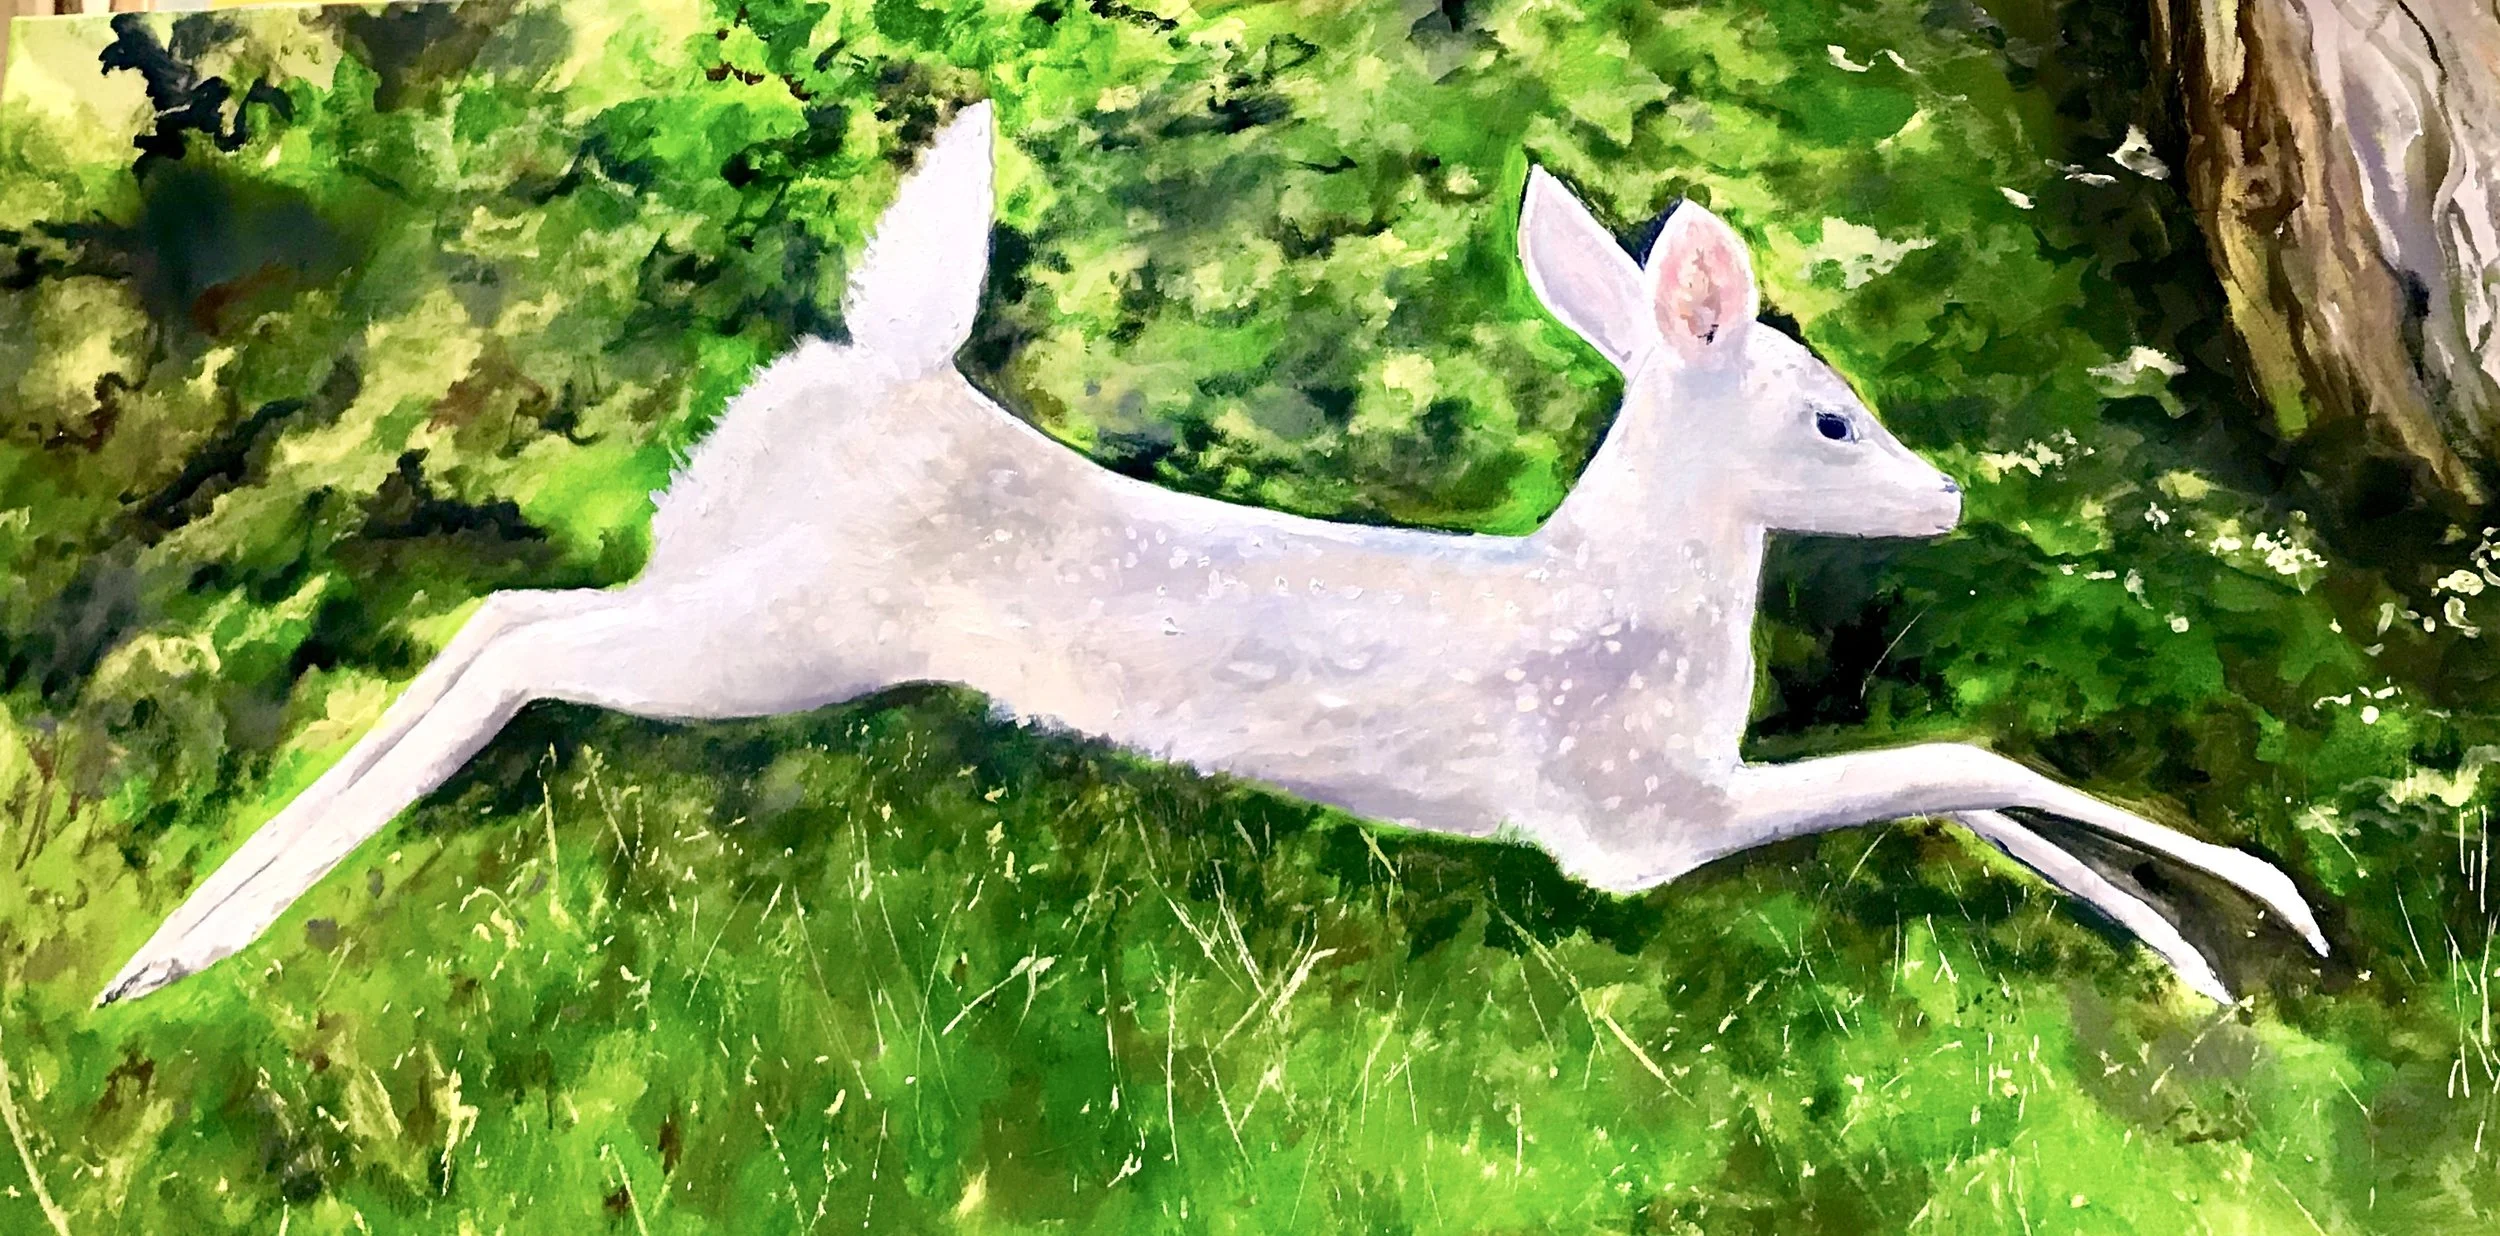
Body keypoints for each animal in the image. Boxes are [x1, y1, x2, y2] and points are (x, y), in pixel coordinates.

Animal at [99, 99, 2327, 1009]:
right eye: (1832, 418)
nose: (1943, 503)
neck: (1626, 612)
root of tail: (874, 371)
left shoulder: (1681, 797)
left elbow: (1958, 797)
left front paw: (2197, 963)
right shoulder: (1622, 822)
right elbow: (1960, 762)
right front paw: (2270, 907)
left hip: (735, 594)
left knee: (505, 621)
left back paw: (166, 944)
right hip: (776, 634)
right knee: (509, 630)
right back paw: (180, 950)